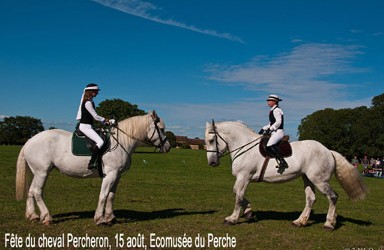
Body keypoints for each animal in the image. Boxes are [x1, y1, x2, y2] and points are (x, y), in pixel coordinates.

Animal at [16, 111, 170, 225]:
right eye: (161, 129)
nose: (168, 147)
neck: (121, 141)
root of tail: (30, 140)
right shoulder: (110, 174)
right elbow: (103, 195)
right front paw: (100, 219)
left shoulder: (117, 175)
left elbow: (111, 196)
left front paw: (110, 217)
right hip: (42, 172)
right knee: (37, 192)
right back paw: (47, 217)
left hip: (38, 173)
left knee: (31, 191)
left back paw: (32, 215)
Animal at [206, 121, 368, 230]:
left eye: (211, 140)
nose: (212, 163)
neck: (244, 146)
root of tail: (328, 150)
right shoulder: (243, 178)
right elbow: (237, 193)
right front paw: (248, 212)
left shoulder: (244, 177)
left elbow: (238, 196)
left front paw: (232, 218)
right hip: (307, 179)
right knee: (311, 199)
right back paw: (300, 221)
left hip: (320, 180)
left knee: (332, 197)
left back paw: (329, 223)